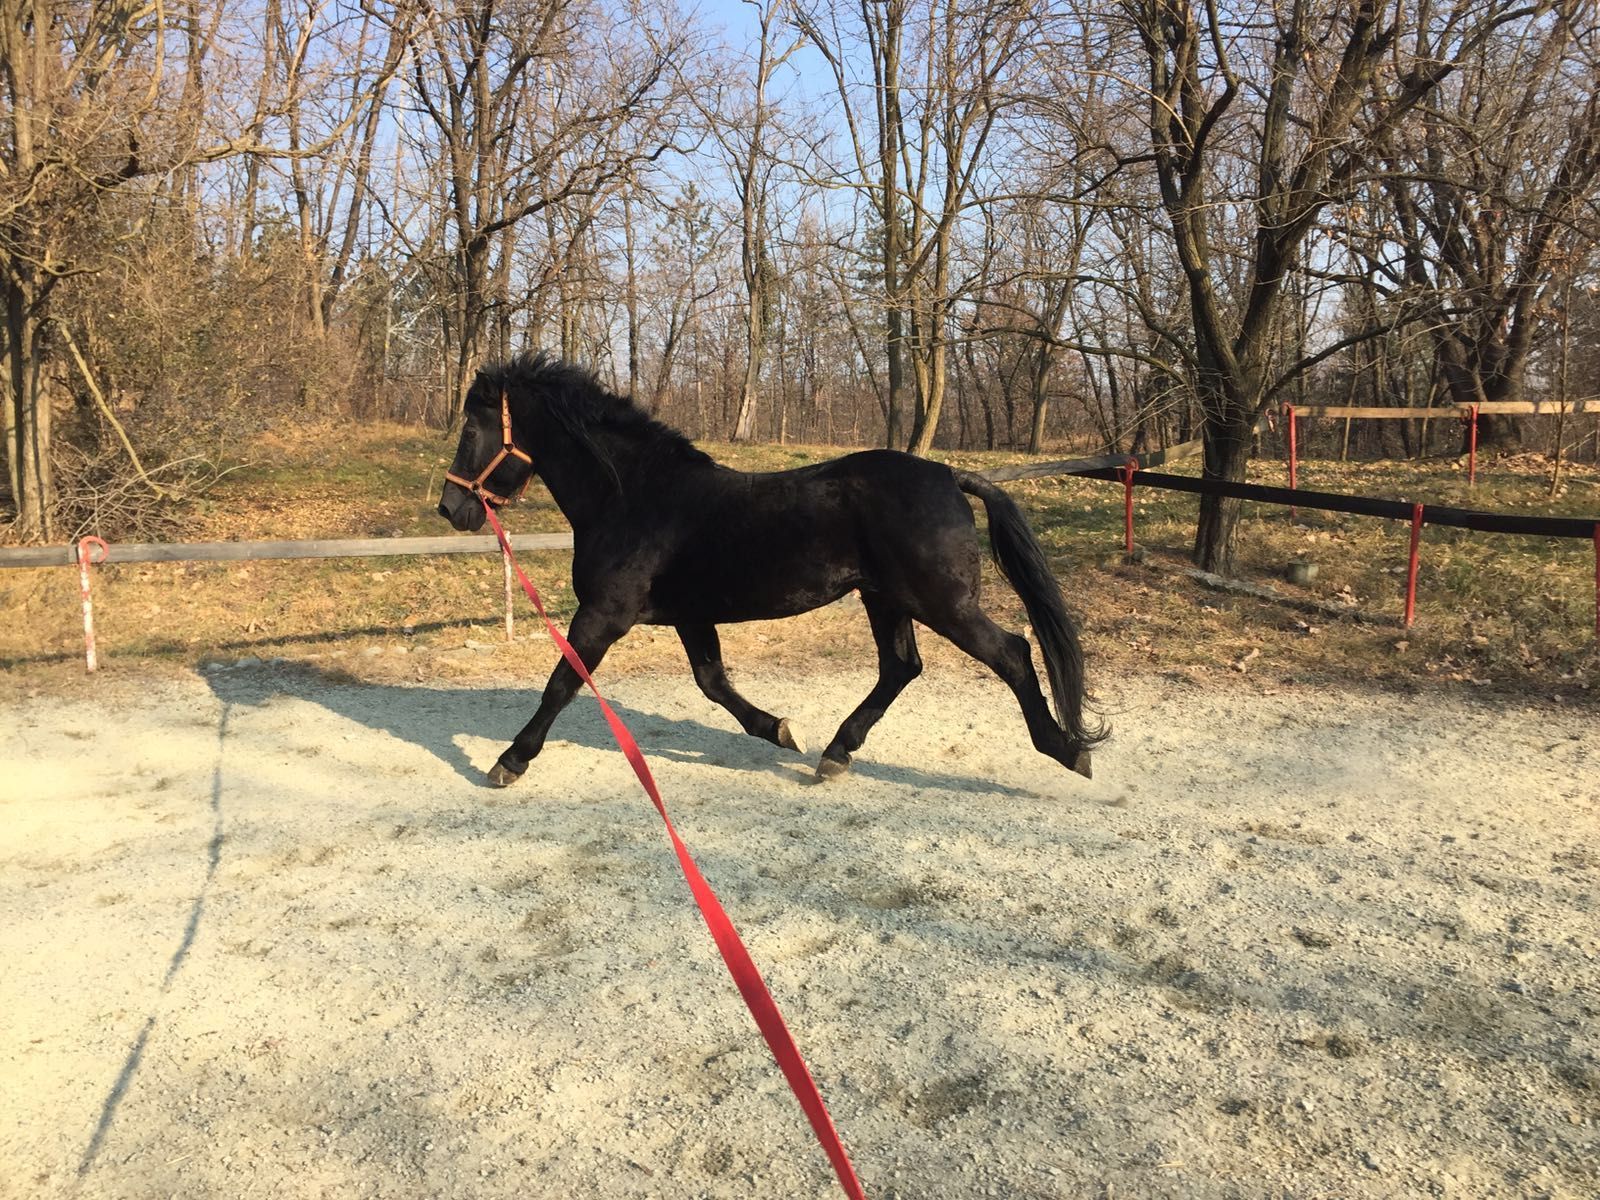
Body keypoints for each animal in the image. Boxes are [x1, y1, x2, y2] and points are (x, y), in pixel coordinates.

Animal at [436, 354, 1106, 787]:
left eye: (471, 427)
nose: (450, 508)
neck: (634, 497)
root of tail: (948, 475)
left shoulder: (605, 614)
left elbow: (562, 682)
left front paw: (509, 761)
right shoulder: (690, 616)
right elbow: (713, 683)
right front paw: (779, 729)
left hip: (942, 602)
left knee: (1013, 653)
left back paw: (1067, 750)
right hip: (885, 598)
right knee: (901, 667)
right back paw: (835, 753)